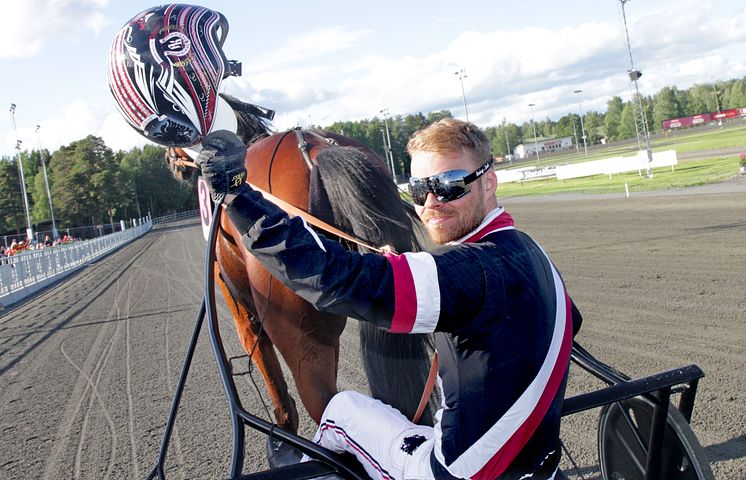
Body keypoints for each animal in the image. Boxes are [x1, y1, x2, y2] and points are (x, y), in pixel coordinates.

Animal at [166, 94, 434, 436]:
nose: (171, 161)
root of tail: (319, 151)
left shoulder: (241, 306)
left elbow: (280, 396)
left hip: (302, 338)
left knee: (323, 402)